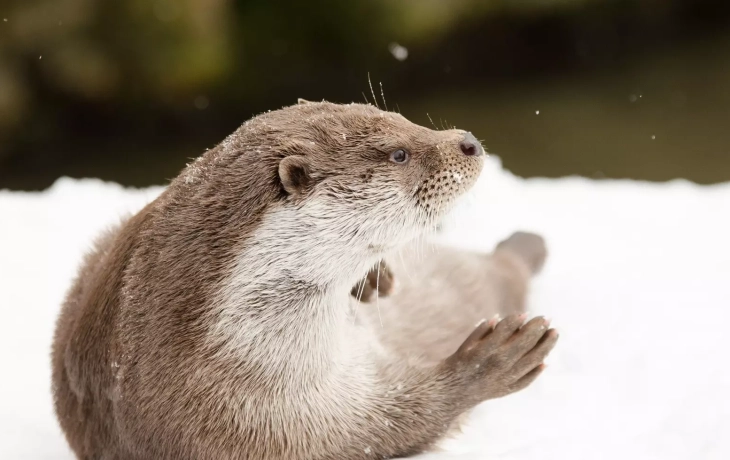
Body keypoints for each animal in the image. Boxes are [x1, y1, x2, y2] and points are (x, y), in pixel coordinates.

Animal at [51, 100, 556, 460]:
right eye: (399, 153)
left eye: (403, 119)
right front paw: (491, 361)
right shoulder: (260, 424)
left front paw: (376, 279)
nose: (468, 141)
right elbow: (387, 428)